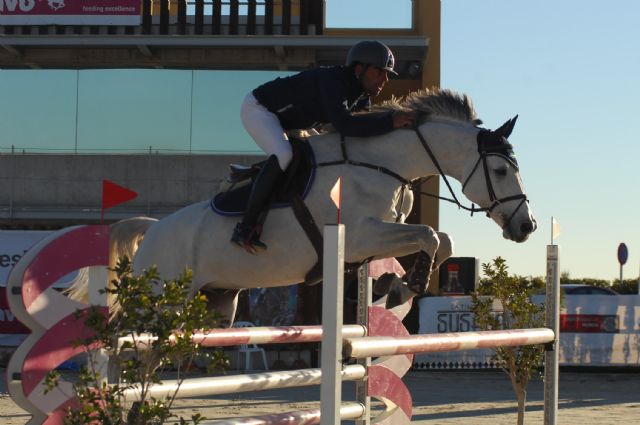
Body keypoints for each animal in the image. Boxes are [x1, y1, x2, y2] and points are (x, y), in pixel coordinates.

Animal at [69, 88, 536, 322]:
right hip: (161, 299)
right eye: (500, 172)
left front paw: (398, 287)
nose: (527, 227)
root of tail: (153, 228)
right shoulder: (362, 235)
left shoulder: (374, 240)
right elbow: (430, 235)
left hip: (218, 302)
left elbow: (442, 239)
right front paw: (405, 288)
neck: (381, 162)